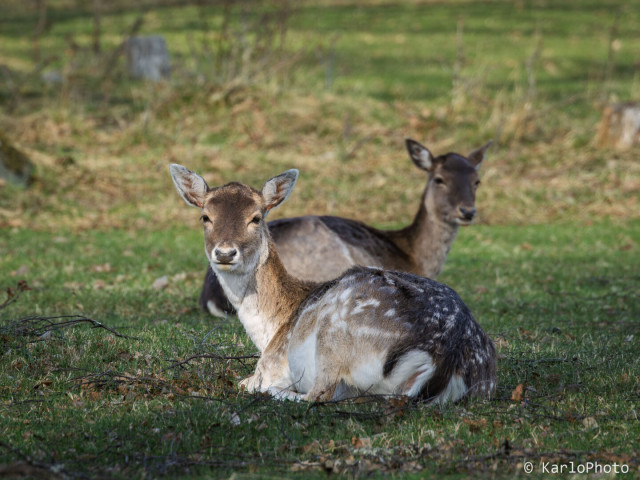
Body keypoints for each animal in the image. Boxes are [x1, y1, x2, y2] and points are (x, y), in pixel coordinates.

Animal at [170, 164, 497, 403]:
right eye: (205, 216)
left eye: (256, 217)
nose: (225, 252)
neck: (272, 327)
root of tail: (446, 356)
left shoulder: (270, 363)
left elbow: (246, 382)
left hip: (334, 335)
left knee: (319, 395)